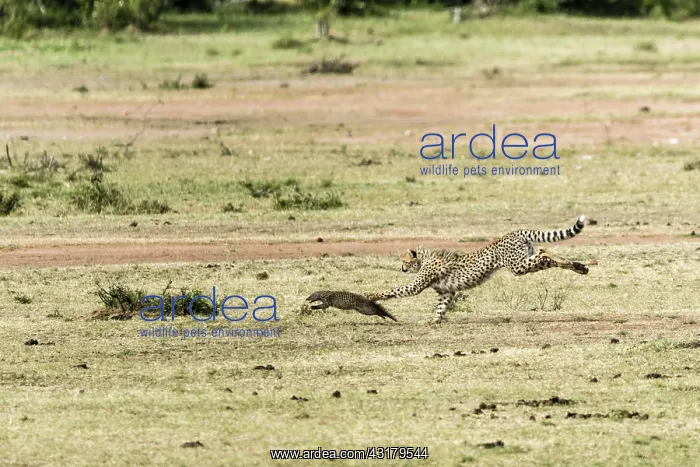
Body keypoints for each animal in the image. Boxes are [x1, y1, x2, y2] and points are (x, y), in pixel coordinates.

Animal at [365, 216, 589, 324]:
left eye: (405, 260)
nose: (402, 268)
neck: (425, 257)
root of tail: (514, 232)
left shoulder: (416, 286)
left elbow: (395, 290)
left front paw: (371, 294)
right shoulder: (447, 292)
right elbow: (441, 308)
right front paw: (433, 321)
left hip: (517, 265)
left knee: (544, 253)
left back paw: (563, 259)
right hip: (524, 262)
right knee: (548, 259)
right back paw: (578, 267)